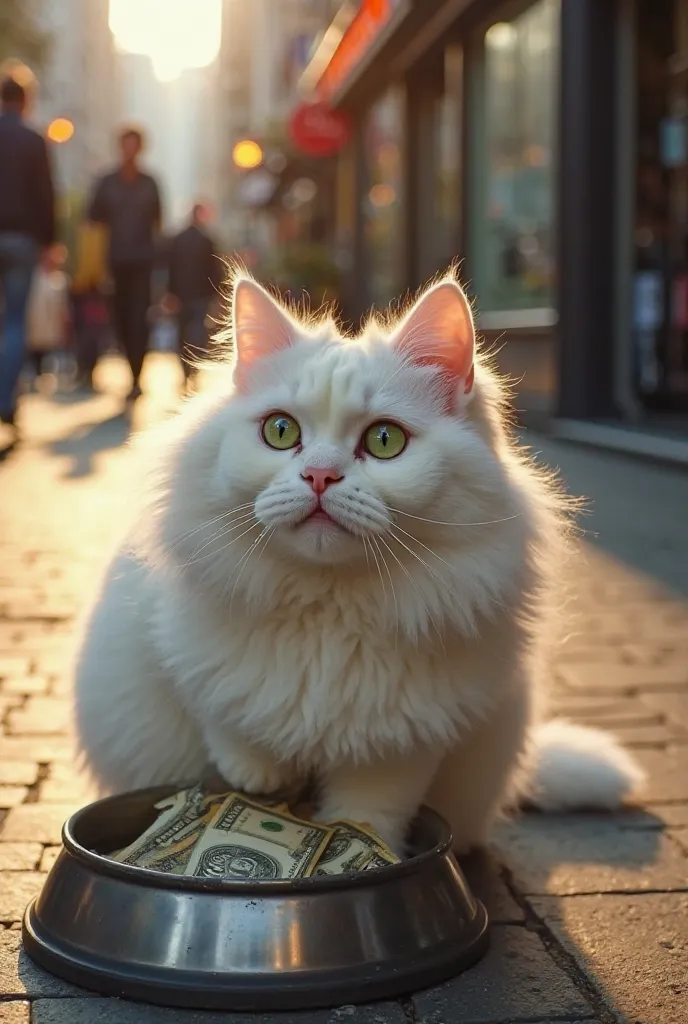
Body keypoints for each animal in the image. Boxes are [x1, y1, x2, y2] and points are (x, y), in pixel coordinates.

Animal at [72, 272, 642, 856]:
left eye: (385, 440)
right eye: (280, 432)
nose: (320, 475)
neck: (330, 603)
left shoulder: (404, 742)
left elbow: (369, 813)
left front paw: (355, 840)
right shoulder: (186, 658)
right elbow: (231, 723)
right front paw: (259, 779)